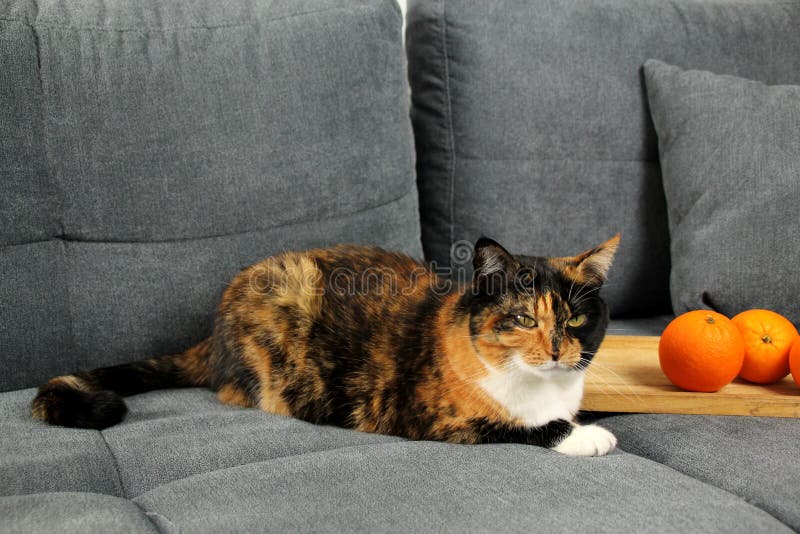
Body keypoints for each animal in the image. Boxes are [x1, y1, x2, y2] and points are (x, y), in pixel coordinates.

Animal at [29, 237, 620, 458]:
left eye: (575, 318)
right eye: (522, 318)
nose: (557, 352)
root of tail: (213, 329)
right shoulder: (434, 418)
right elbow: (521, 426)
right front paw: (585, 435)